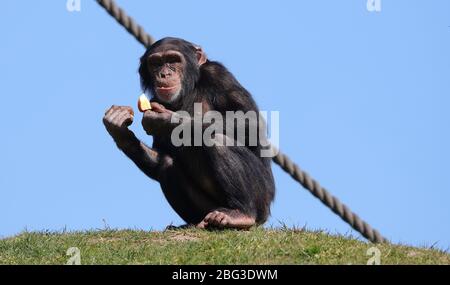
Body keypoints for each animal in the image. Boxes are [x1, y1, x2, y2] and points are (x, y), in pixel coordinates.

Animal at [103, 37, 276, 229]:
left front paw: (166, 120)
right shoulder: (156, 98)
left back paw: (241, 214)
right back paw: (193, 223)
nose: (164, 74)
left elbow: (250, 121)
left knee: (218, 141)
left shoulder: (219, 75)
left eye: (173, 60)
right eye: (156, 63)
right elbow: (160, 156)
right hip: (208, 209)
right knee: (167, 165)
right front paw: (119, 129)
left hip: (262, 200)